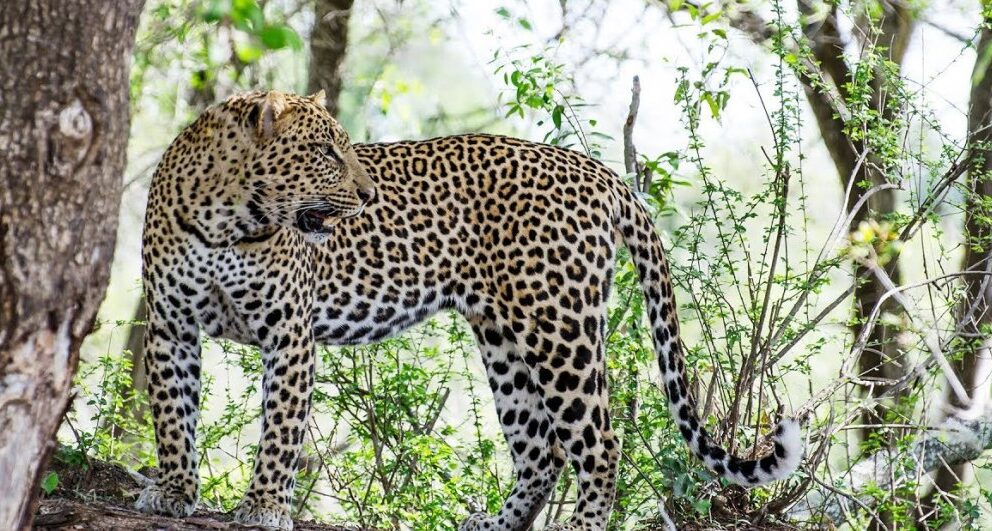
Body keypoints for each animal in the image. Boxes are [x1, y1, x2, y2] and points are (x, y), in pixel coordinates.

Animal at [135, 89, 802, 530]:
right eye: (325, 151)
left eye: (345, 149)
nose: (368, 195)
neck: (227, 221)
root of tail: (600, 171)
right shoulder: (171, 326)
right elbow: (173, 417)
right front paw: (172, 492)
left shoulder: (289, 334)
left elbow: (279, 428)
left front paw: (264, 507)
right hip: (503, 338)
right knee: (541, 450)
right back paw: (494, 527)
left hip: (559, 328)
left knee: (600, 442)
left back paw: (581, 526)